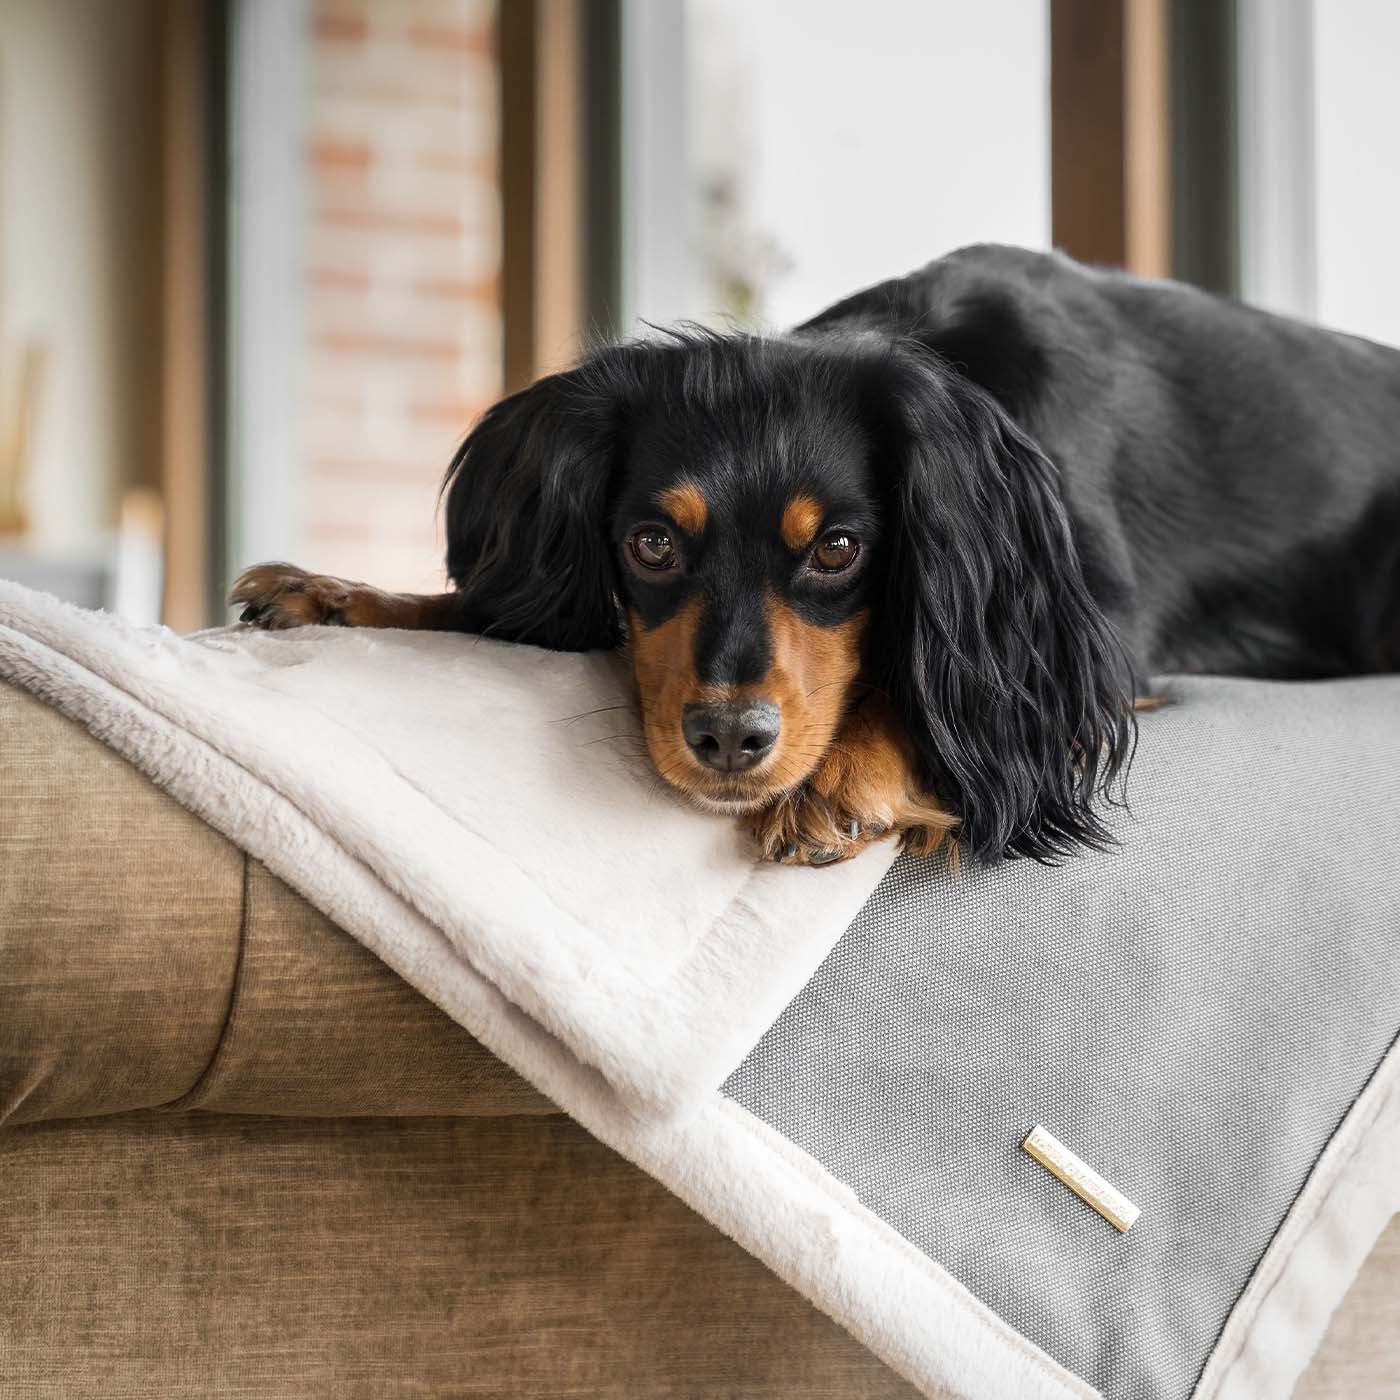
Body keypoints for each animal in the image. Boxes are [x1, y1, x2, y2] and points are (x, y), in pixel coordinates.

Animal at [232, 246, 1400, 868]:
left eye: (839, 548)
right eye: (651, 543)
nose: (727, 739)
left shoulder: (1091, 650)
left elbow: (917, 684)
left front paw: (837, 781)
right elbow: (503, 606)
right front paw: (339, 592)